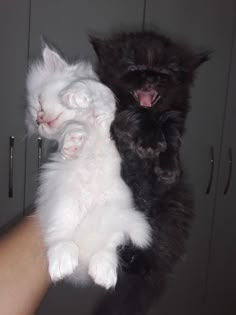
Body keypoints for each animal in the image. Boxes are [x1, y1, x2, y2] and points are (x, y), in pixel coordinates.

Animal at [25, 45, 151, 290]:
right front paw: (73, 144)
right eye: (35, 115)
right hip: (64, 207)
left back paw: (103, 272)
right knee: (59, 239)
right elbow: (70, 131)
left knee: (108, 249)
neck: (85, 120)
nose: (39, 119)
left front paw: (73, 96)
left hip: (118, 210)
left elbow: (96, 89)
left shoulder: (106, 108)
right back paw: (64, 262)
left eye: (40, 101)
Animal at [90, 30, 208, 315]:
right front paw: (150, 140)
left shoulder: (175, 116)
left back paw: (139, 263)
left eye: (165, 72)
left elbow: (172, 133)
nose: (151, 78)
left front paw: (167, 166)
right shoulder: (115, 114)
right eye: (133, 67)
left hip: (172, 210)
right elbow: (134, 114)